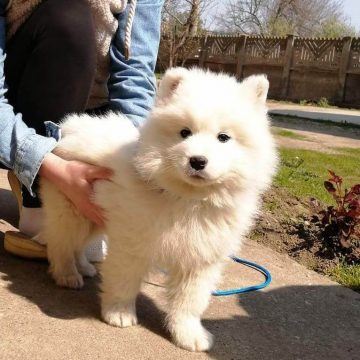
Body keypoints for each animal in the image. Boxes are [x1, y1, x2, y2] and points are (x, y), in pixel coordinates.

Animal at [39, 67, 278, 352]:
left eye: (223, 138)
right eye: (184, 133)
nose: (197, 160)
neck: (187, 199)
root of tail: (69, 126)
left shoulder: (201, 257)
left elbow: (190, 301)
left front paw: (188, 334)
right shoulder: (132, 241)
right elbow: (124, 280)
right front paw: (119, 313)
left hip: (93, 212)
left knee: (78, 244)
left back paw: (84, 267)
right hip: (72, 209)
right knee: (62, 244)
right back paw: (67, 274)